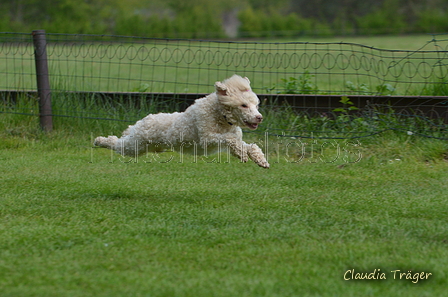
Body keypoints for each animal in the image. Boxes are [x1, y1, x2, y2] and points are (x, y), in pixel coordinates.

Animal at [93, 74, 270, 168]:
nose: (259, 117)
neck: (221, 117)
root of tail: (140, 122)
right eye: (244, 105)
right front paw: (242, 154)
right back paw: (99, 141)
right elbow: (231, 139)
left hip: (144, 147)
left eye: (256, 105)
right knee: (115, 143)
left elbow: (249, 146)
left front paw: (260, 160)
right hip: (134, 145)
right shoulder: (207, 138)